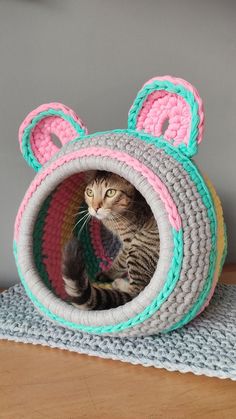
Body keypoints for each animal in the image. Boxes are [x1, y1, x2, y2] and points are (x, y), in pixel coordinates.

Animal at [61, 171, 159, 312]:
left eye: (110, 192)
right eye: (89, 192)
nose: (95, 208)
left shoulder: (129, 241)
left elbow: (119, 262)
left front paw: (108, 273)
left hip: (139, 245)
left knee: (136, 291)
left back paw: (119, 283)